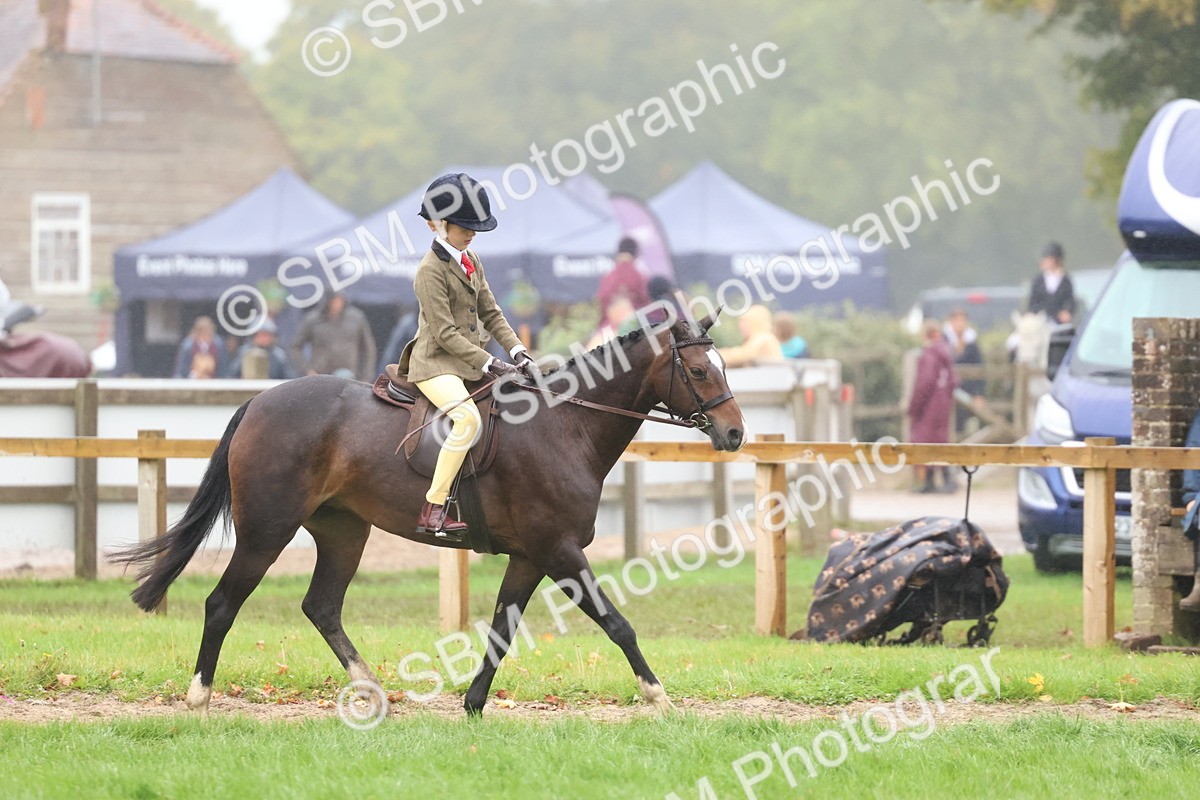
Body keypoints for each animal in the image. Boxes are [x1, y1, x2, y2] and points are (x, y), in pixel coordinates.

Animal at [112, 311, 745, 717]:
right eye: (699, 371)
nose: (736, 433)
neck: (565, 423)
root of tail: (260, 400)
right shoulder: (560, 550)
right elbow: (617, 623)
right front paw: (659, 697)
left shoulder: (530, 556)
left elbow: (501, 630)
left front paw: (473, 705)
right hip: (267, 532)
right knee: (223, 604)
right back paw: (199, 698)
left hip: (344, 532)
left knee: (322, 606)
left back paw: (372, 693)